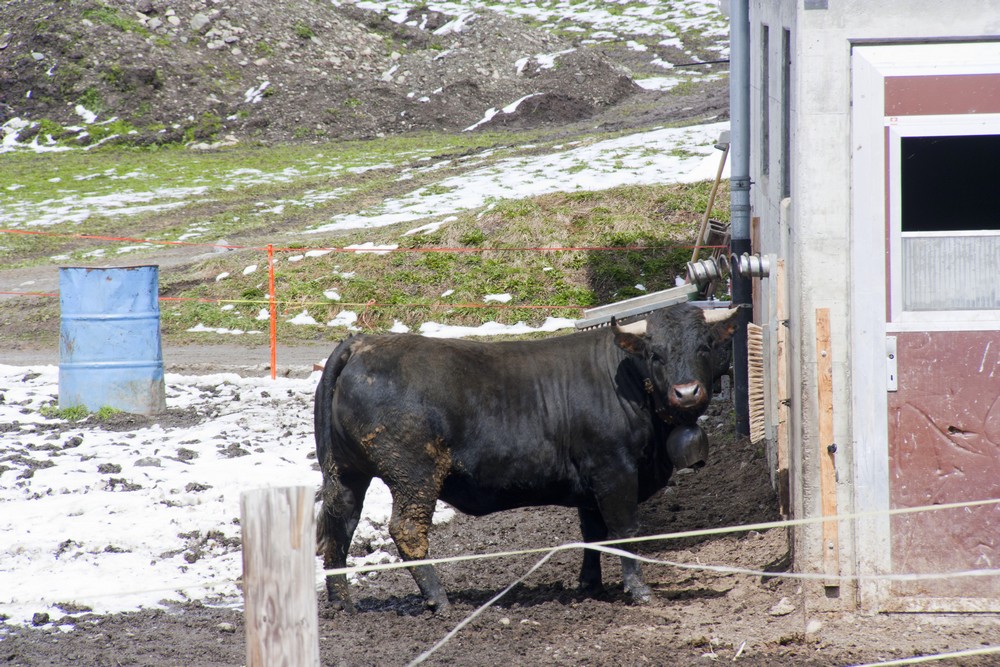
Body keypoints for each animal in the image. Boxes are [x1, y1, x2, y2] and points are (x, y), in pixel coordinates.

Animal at [316, 304, 740, 616]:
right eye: (656, 353)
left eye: (704, 347)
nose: (687, 392)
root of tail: (362, 343)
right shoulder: (615, 470)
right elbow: (624, 530)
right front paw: (639, 590)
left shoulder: (591, 482)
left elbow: (592, 533)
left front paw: (591, 585)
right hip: (414, 475)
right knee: (407, 530)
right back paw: (439, 600)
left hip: (346, 472)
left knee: (339, 525)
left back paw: (342, 602)